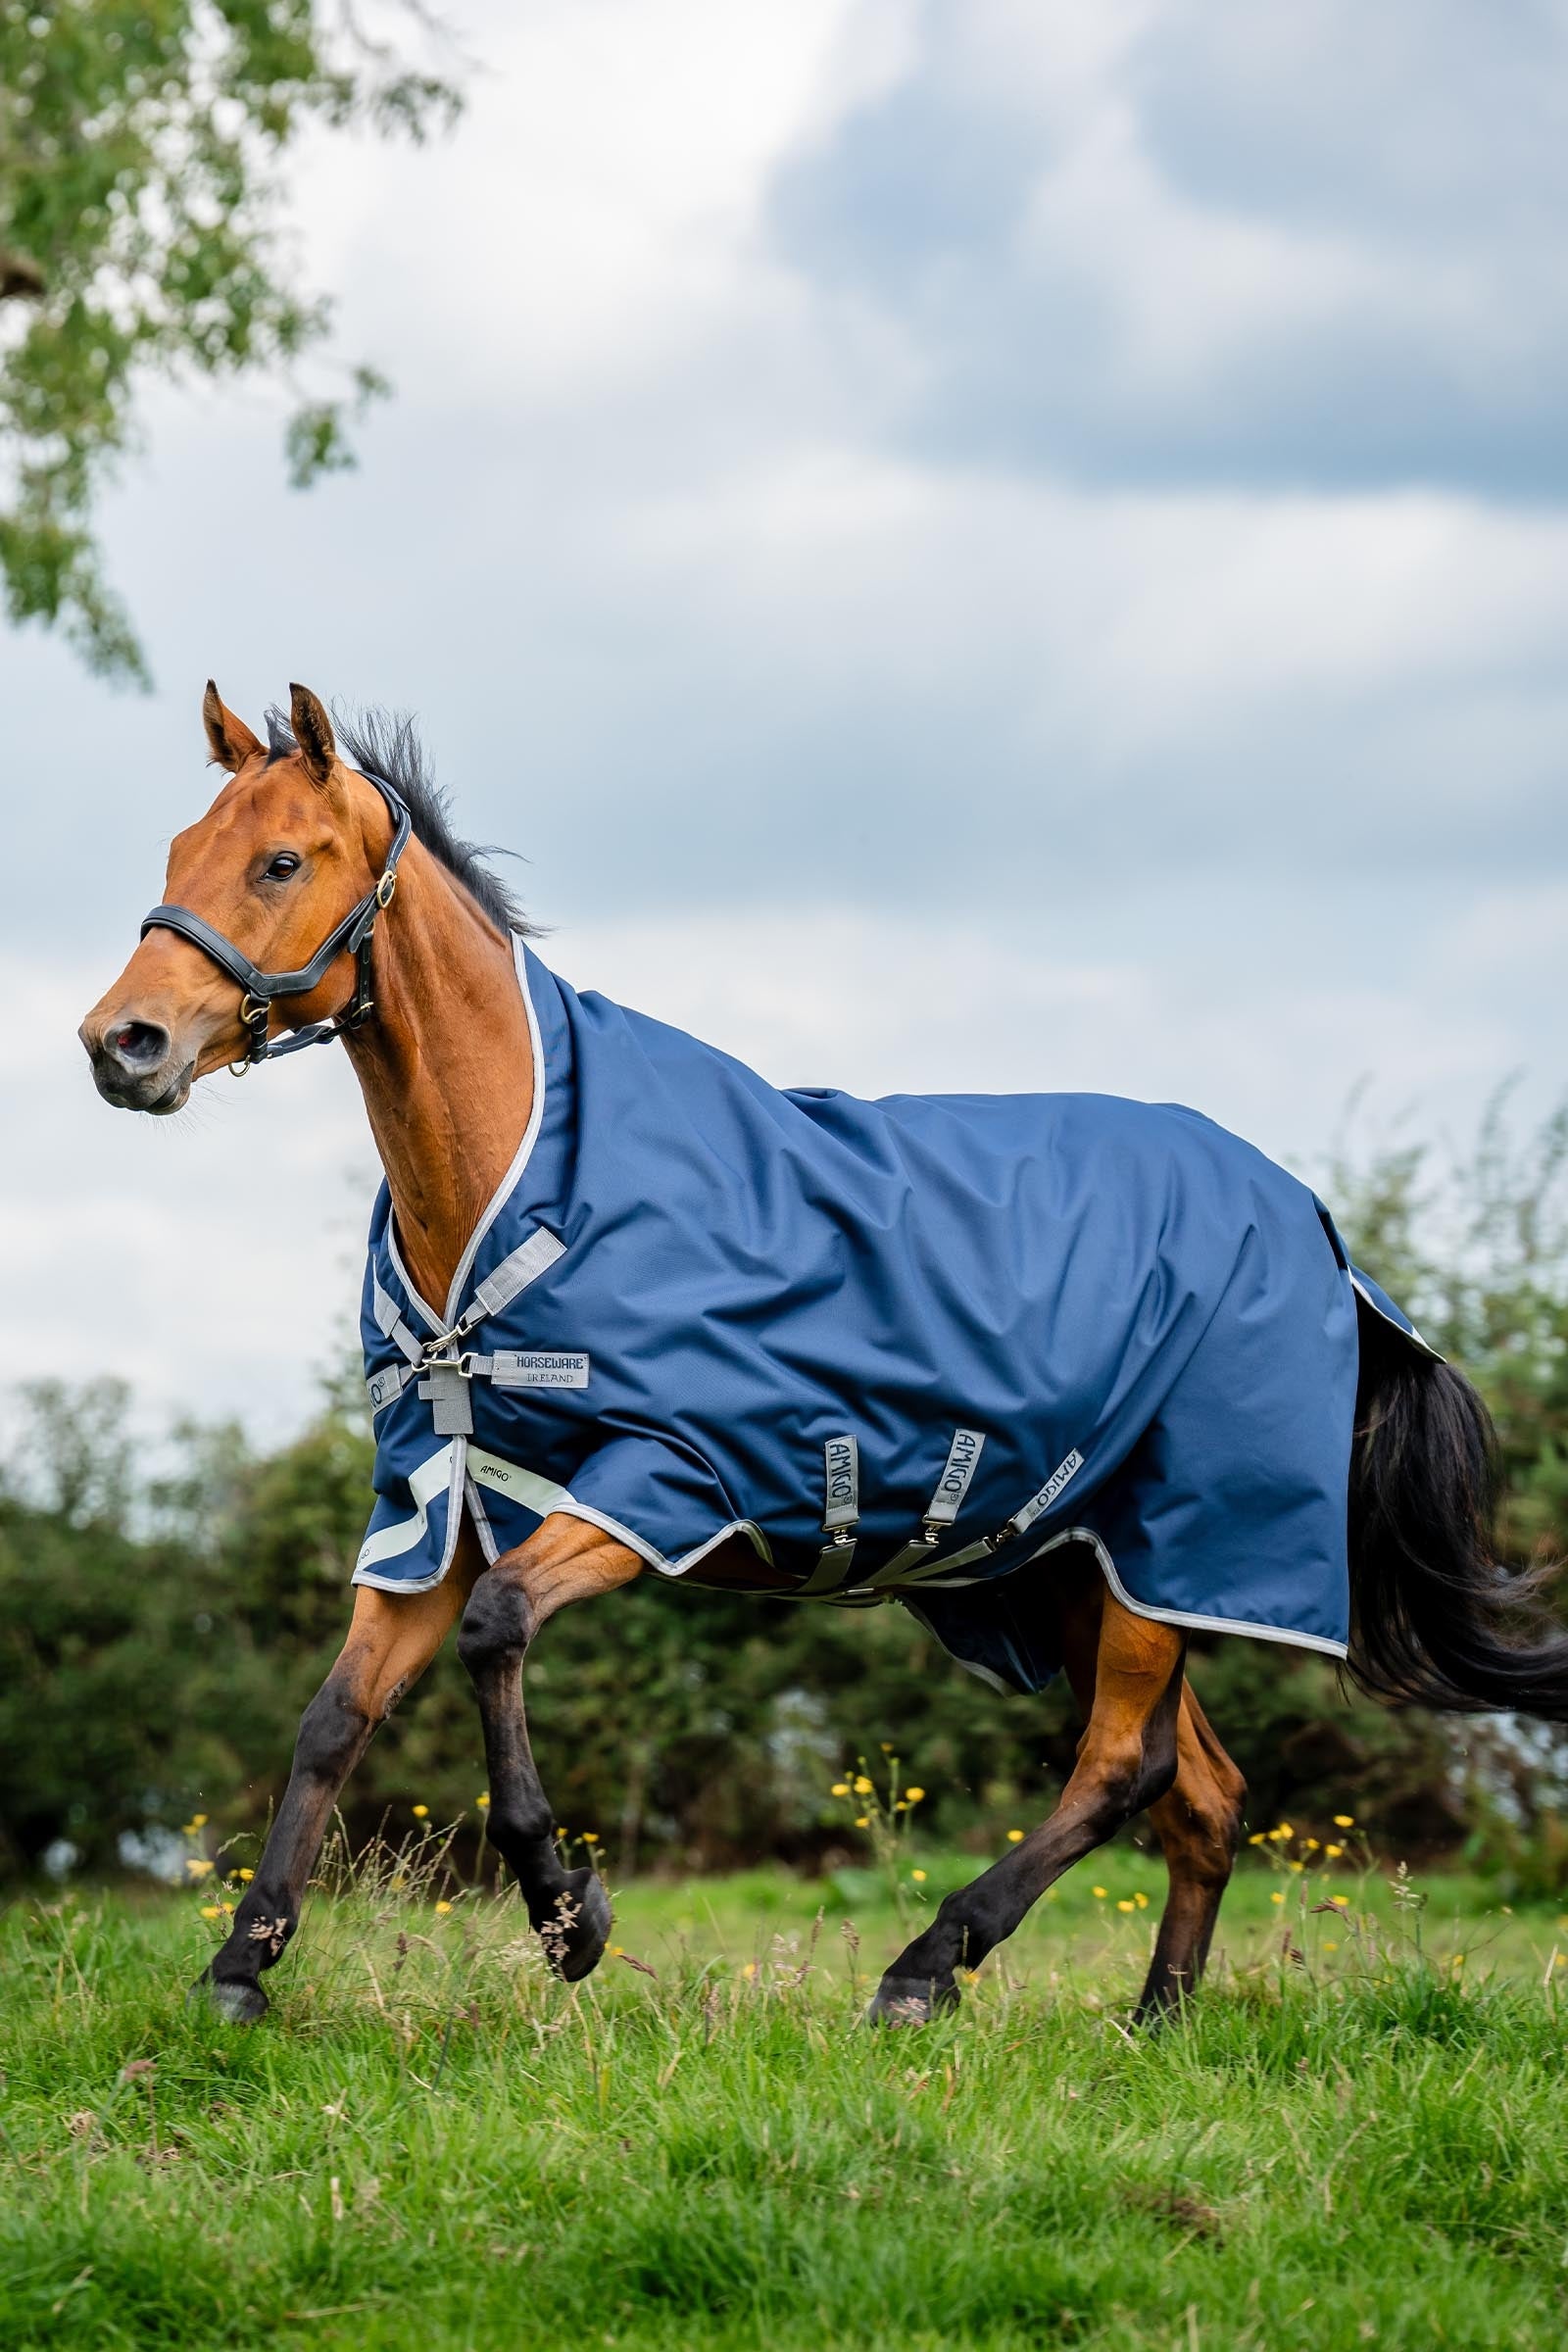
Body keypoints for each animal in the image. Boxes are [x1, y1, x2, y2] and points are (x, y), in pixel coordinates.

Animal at [80, 682, 1568, 2028]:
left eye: (281, 861)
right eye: (176, 851)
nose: (121, 1044)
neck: (525, 1177)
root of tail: (1319, 1232)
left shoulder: (666, 1477)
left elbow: (499, 1631)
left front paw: (567, 1913)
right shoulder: (431, 1502)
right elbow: (334, 1716)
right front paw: (240, 1970)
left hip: (1174, 1546)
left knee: (1124, 1768)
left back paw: (927, 1967)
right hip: (1079, 1567)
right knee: (1201, 1795)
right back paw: (1157, 2023)